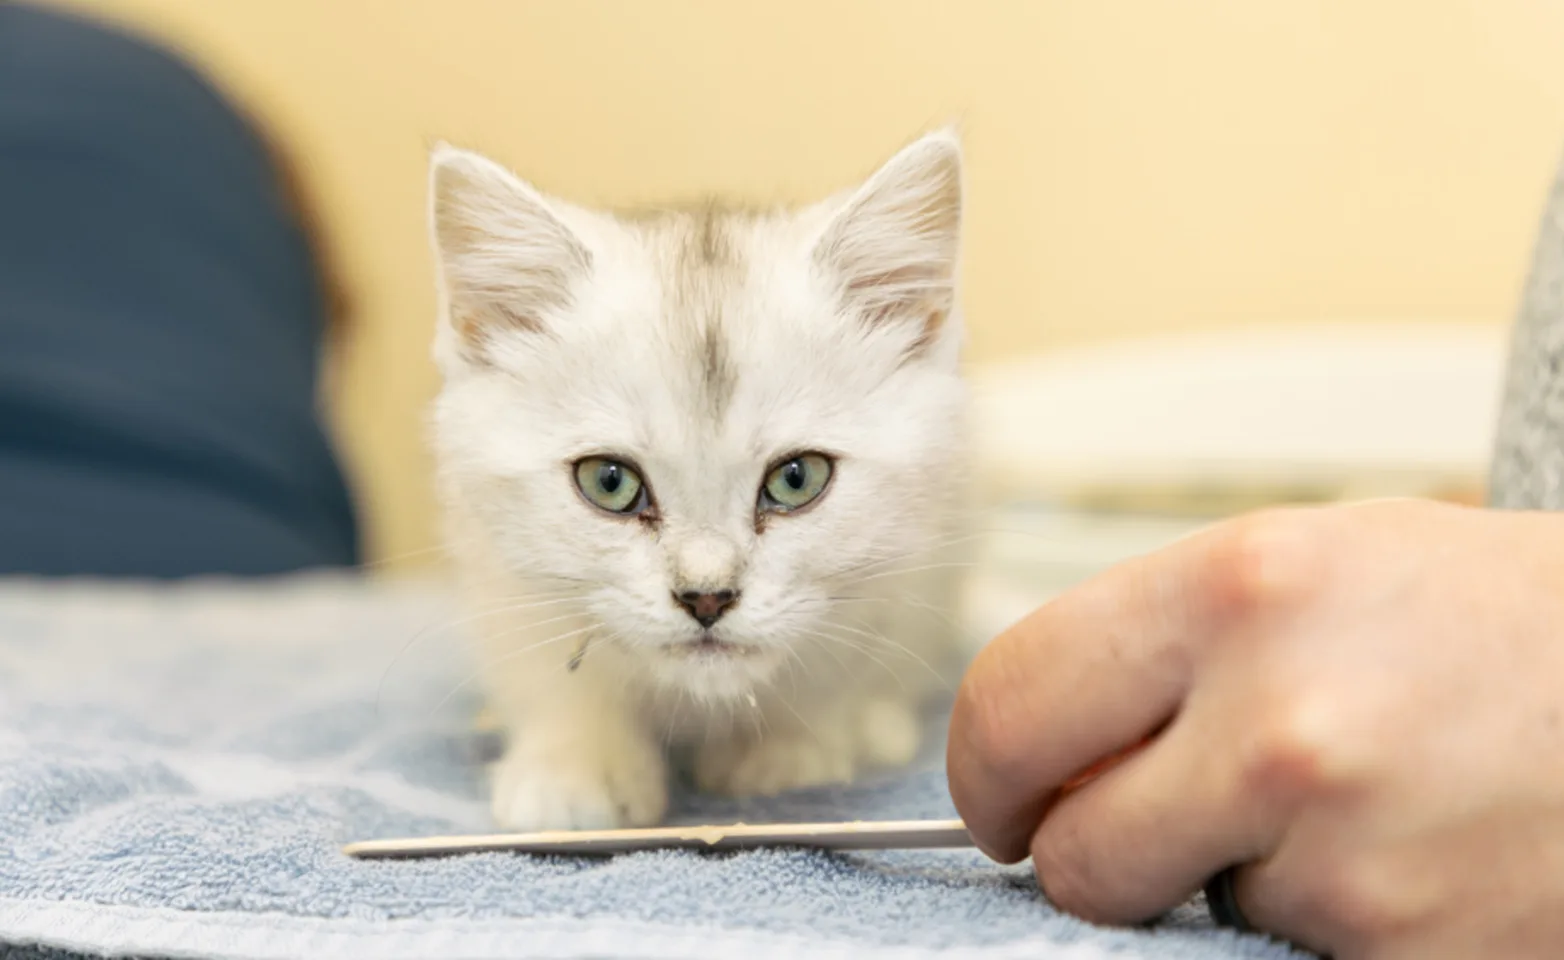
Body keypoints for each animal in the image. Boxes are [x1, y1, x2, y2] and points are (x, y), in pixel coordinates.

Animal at [422, 129, 969, 838]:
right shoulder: (498, 575)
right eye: (609, 482)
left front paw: (789, 747)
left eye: (797, 479)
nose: (706, 598)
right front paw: (576, 767)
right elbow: (555, 675)